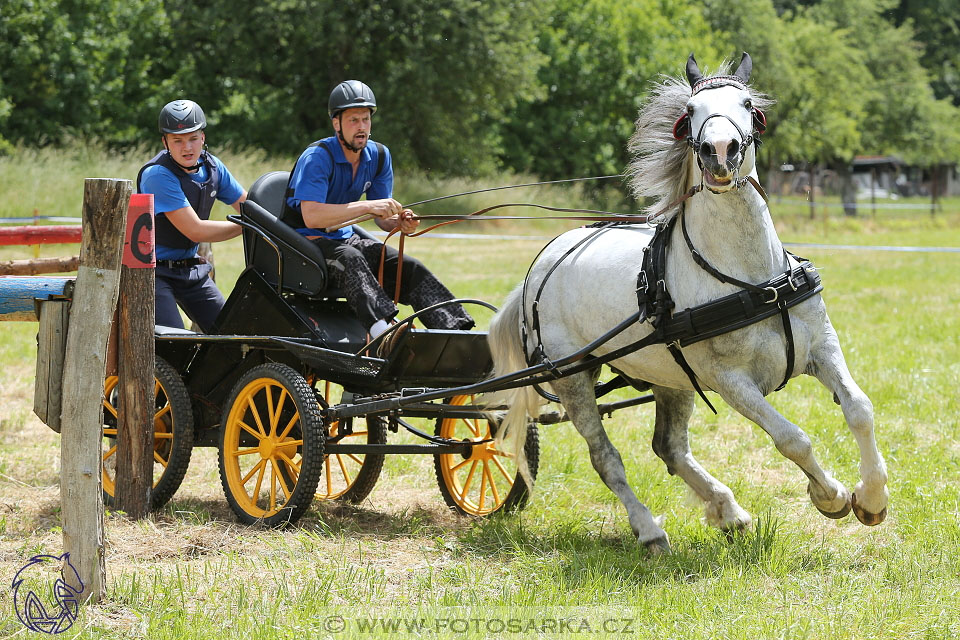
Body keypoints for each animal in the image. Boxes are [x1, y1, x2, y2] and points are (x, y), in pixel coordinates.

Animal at [492, 55, 888, 552]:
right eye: (692, 110)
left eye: (748, 104)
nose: (720, 150)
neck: (756, 282)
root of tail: (541, 264)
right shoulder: (731, 381)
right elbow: (792, 438)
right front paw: (830, 495)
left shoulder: (823, 348)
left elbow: (859, 409)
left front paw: (872, 498)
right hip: (573, 377)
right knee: (606, 458)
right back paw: (648, 529)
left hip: (671, 378)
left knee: (670, 447)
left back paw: (729, 511)